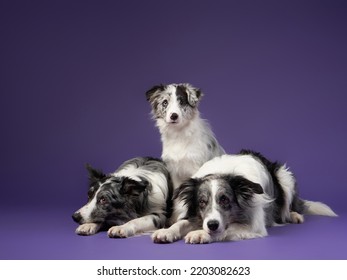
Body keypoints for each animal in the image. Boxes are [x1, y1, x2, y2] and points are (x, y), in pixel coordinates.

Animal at [152, 150, 338, 244]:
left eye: (225, 199)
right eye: (202, 202)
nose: (212, 225)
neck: (223, 171)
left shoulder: (255, 227)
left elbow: (225, 230)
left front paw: (200, 234)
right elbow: (181, 223)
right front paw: (167, 231)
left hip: (285, 177)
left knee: (288, 206)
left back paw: (294, 215)